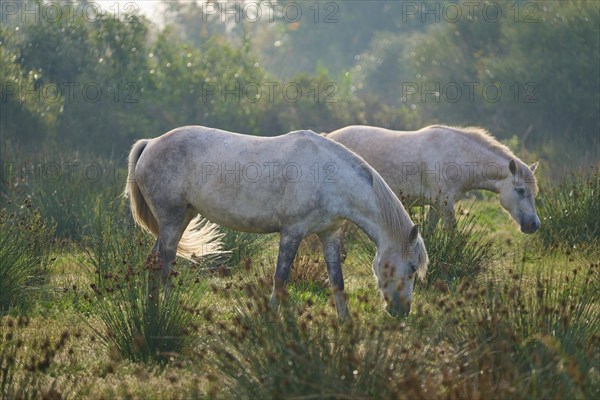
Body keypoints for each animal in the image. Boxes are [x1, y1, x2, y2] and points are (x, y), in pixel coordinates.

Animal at [124, 126, 428, 318]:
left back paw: (152, 309)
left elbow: (337, 282)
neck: (330, 177)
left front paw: (346, 323)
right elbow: (280, 279)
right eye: (412, 268)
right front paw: (271, 320)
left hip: (182, 217)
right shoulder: (291, 233)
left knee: (154, 260)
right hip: (172, 219)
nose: (401, 313)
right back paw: (166, 307)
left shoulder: (328, 235)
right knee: (165, 262)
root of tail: (150, 143)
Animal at [328, 123, 540, 233]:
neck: (457, 156)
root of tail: (327, 136)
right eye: (520, 190)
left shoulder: (437, 205)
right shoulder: (445, 205)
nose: (534, 225)